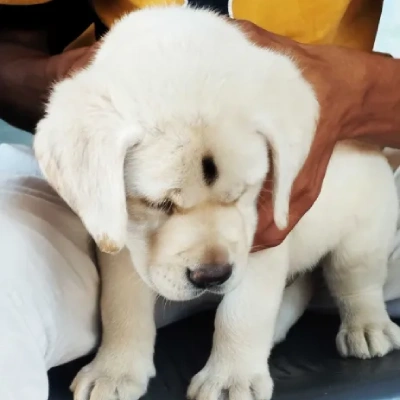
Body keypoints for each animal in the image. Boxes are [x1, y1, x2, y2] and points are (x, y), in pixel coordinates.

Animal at [33, 6, 400, 400]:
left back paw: (368, 327)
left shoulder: (262, 235)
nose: (212, 276)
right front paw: (114, 370)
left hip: (363, 236)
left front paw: (231, 377)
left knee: (355, 281)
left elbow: (242, 312)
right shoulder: (120, 236)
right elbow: (120, 302)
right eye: (157, 204)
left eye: (243, 192)